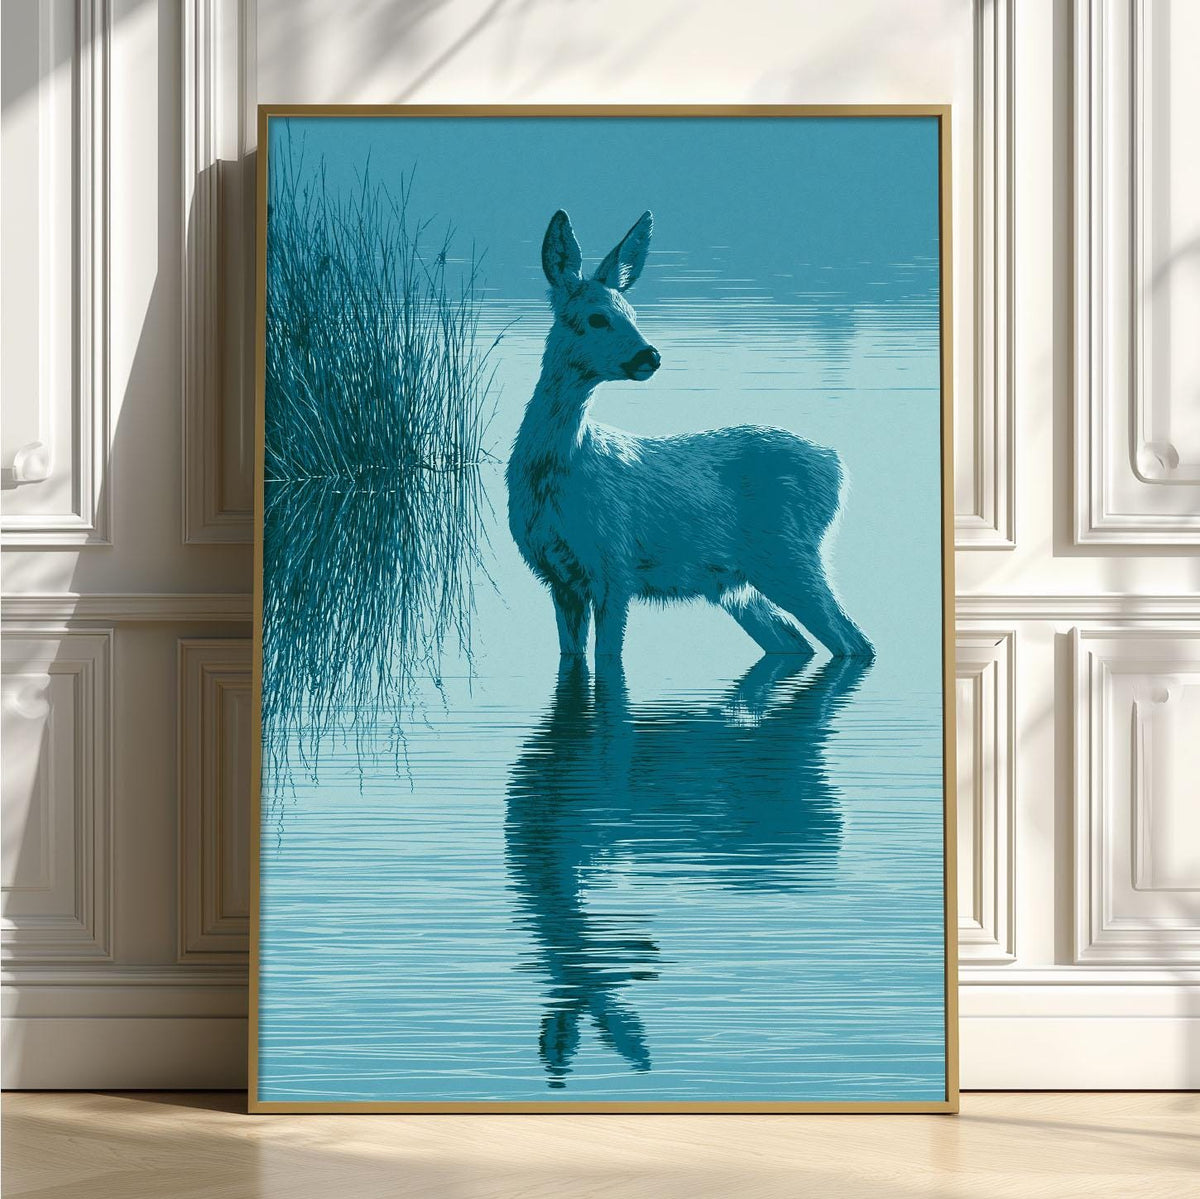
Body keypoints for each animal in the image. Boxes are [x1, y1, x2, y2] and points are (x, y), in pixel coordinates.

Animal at [506, 209, 874, 666]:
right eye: (597, 317)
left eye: (633, 313)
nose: (649, 355)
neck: (562, 466)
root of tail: (837, 465)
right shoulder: (560, 577)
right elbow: (572, 659)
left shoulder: (614, 565)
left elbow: (610, 657)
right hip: (741, 582)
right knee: (798, 640)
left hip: (788, 553)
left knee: (852, 640)